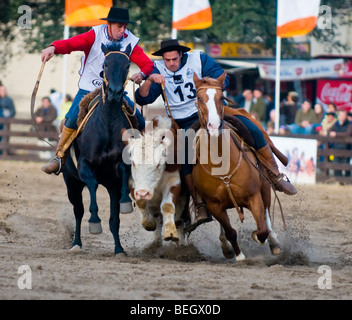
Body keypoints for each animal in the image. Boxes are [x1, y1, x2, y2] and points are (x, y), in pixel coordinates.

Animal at [62, 42, 135, 255]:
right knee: (78, 211)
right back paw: (76, 243)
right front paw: (94, 221)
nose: (115, 92)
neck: (108, 122)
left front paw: (126, 202)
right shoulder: (84, 165)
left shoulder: (118, 173)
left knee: (114, 219)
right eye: (106, 64)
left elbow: (124, 174)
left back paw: (118, 248)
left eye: (127, 65)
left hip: (109, 186)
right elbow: (93, 185)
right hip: (71, 183)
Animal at [192, 72, 280, 260]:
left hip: (265, 188)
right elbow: (230, 231)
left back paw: (274, 242)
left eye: (221, 97)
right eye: (199, 98)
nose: (214, 126)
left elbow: (262, 229)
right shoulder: (214, 205)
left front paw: (256, 237)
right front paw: (238, 255)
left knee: (267, 216)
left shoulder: (254, 196)